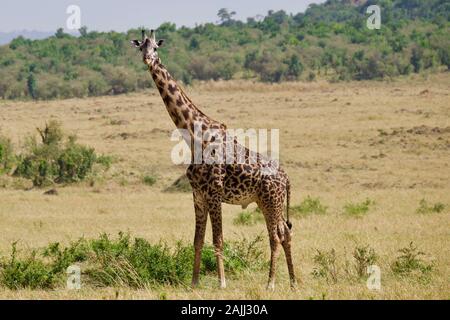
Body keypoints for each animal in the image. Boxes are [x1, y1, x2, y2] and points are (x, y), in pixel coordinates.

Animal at [132, 30, 298, 290]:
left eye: (156, 48)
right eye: (141, 47)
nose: (148, 59)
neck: (194, 135)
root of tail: (287, 178)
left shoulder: (214, 194)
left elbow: (217, 240)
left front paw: (221, 283)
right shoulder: (198, 196)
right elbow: (197, 240)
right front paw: (193, 283)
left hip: (271, 201)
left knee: (275, 236)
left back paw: (270, 283)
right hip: (269, 203)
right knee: (286, 233)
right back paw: (292, 282)